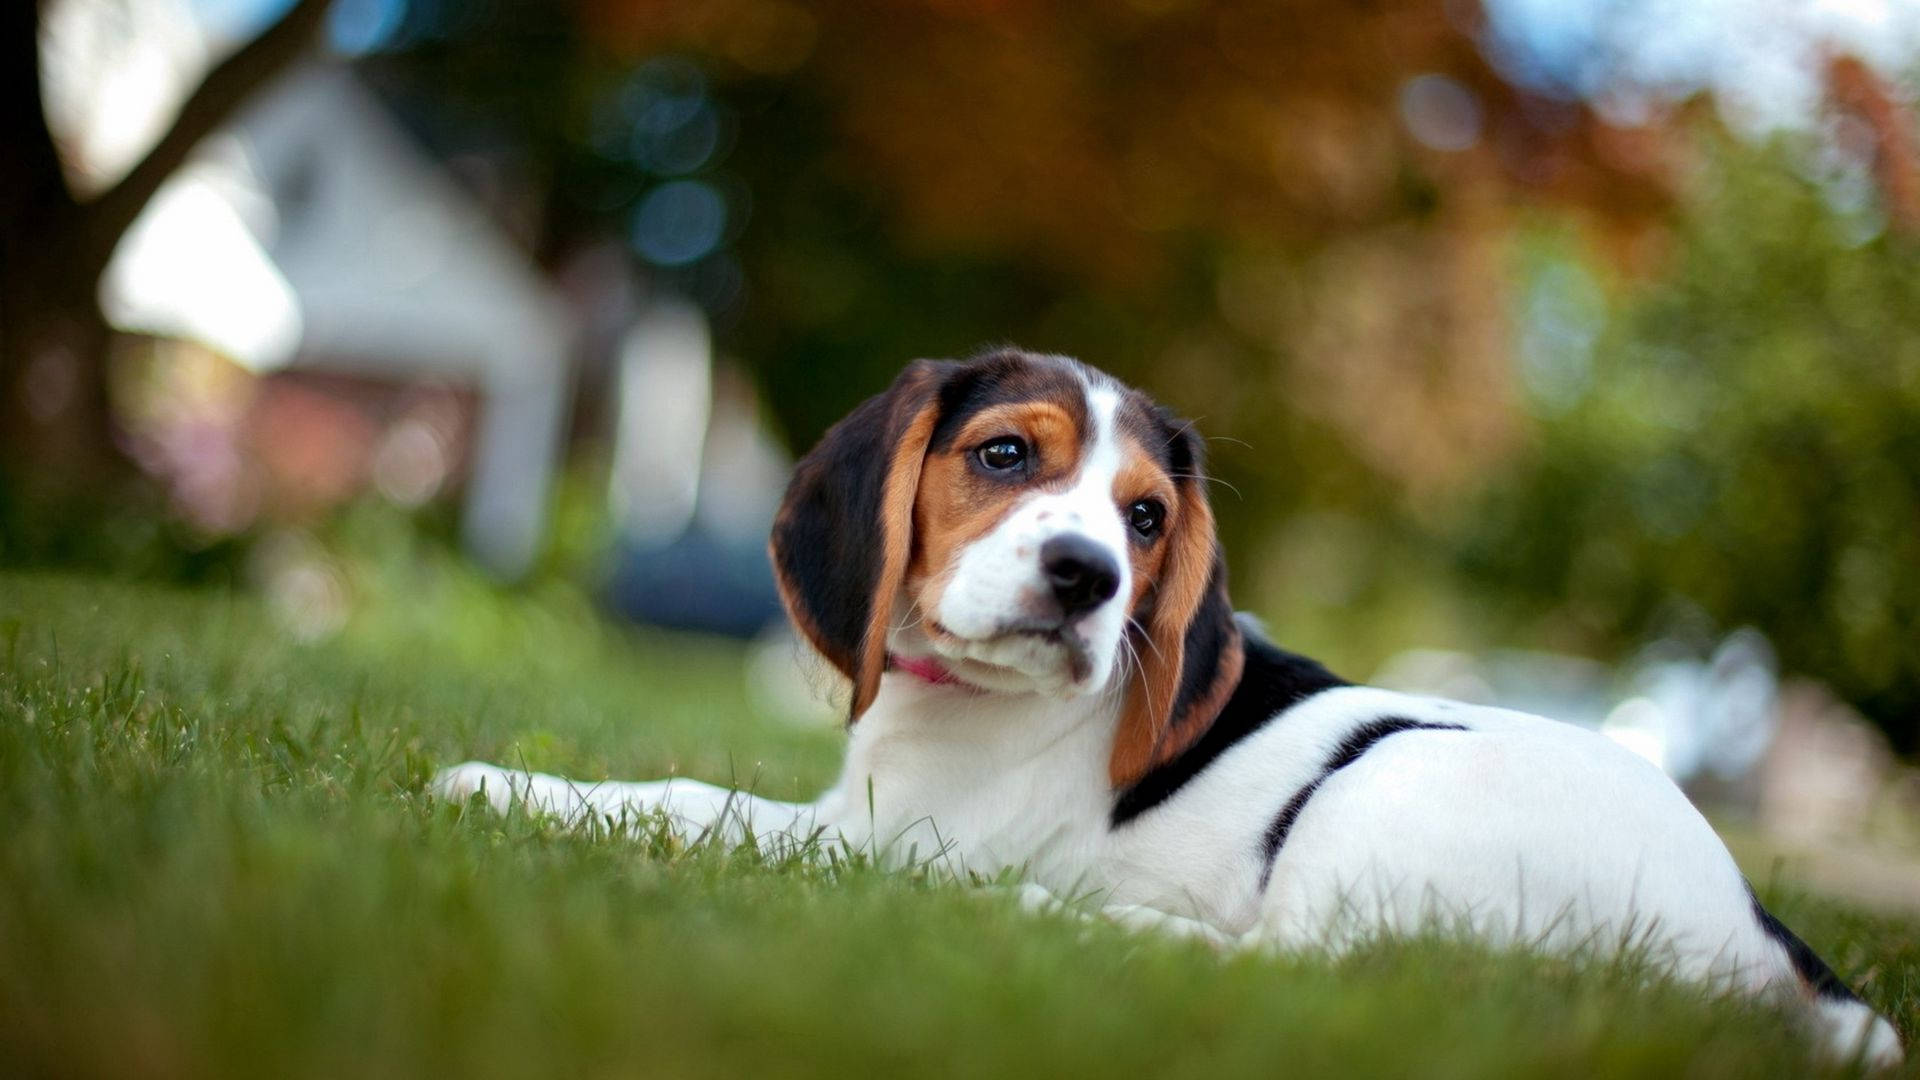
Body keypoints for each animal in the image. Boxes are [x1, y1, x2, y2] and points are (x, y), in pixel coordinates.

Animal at [439, 345, 1904, 1068]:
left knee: (1295, 969)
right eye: (1003, 455)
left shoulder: (875, 836)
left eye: (1147, 519)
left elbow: (692, 799)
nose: (1088, 577)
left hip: (1389, 785)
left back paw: (1048, 917)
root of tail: (1756, 942)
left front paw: (501, 786)